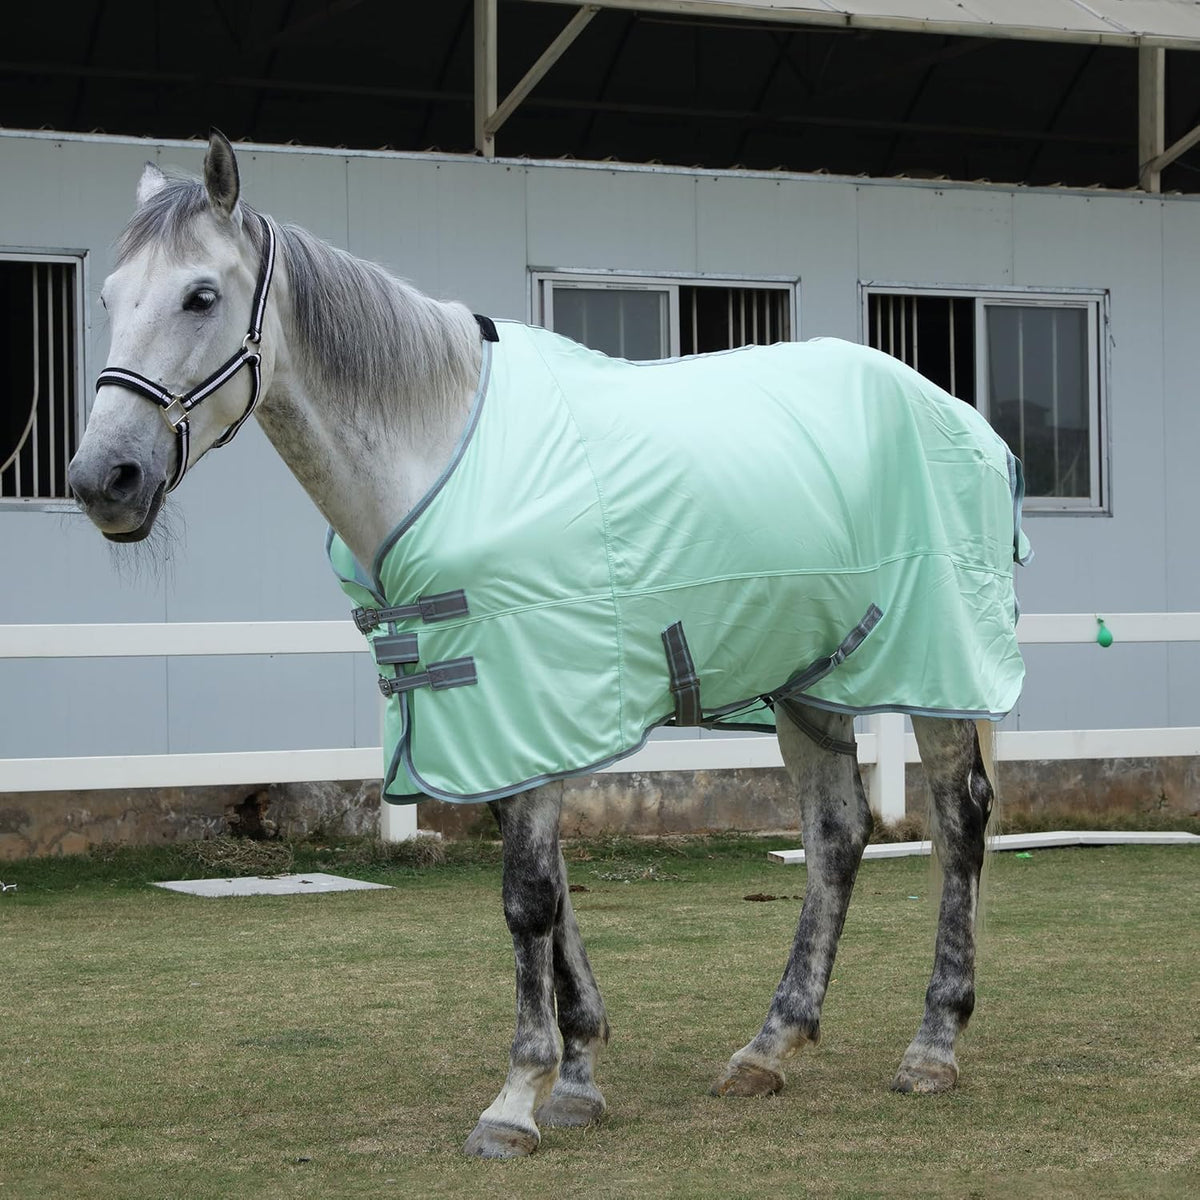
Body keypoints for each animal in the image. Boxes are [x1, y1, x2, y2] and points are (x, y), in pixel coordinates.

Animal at [68, 131, 1025, 1159]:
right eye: (110, 299)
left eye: (201, 295)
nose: (102, 479)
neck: (439, 450)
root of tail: (963, 420)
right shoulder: (488, 713)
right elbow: (556, 892)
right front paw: (578, 1079)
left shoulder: (530, 700)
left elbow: (528, 897)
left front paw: (517, 1099)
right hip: (813, 677)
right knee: (837, 833)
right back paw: (769, 1047)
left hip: (937, 670)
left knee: (958, 822)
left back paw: (932, 1046)